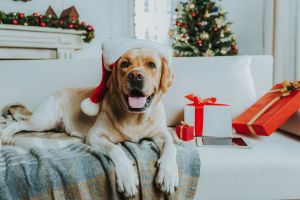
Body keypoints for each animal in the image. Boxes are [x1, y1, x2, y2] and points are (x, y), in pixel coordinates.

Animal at [1, 47, 179, 198]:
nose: (135, 76)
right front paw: (127, 176)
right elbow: (116, 149)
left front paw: (168, 173)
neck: (135, 118)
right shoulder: (95, 136)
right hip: (44, 120)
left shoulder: (162, 133)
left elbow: (171, 146)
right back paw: (6, 135)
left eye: (152, 65)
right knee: (18, 124)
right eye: (125, 64)